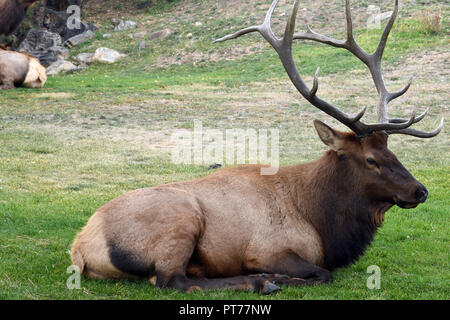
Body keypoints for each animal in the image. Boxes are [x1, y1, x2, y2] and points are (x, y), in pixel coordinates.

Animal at [70, 0, 442, 294]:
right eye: (371, 160)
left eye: (393, 153)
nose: (420, 190)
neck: (321, 221)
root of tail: (80, 247)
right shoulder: (267, 249)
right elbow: (323, 273)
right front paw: (277, 277)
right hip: (181, 220)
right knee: (172, 280)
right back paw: (262, 282)